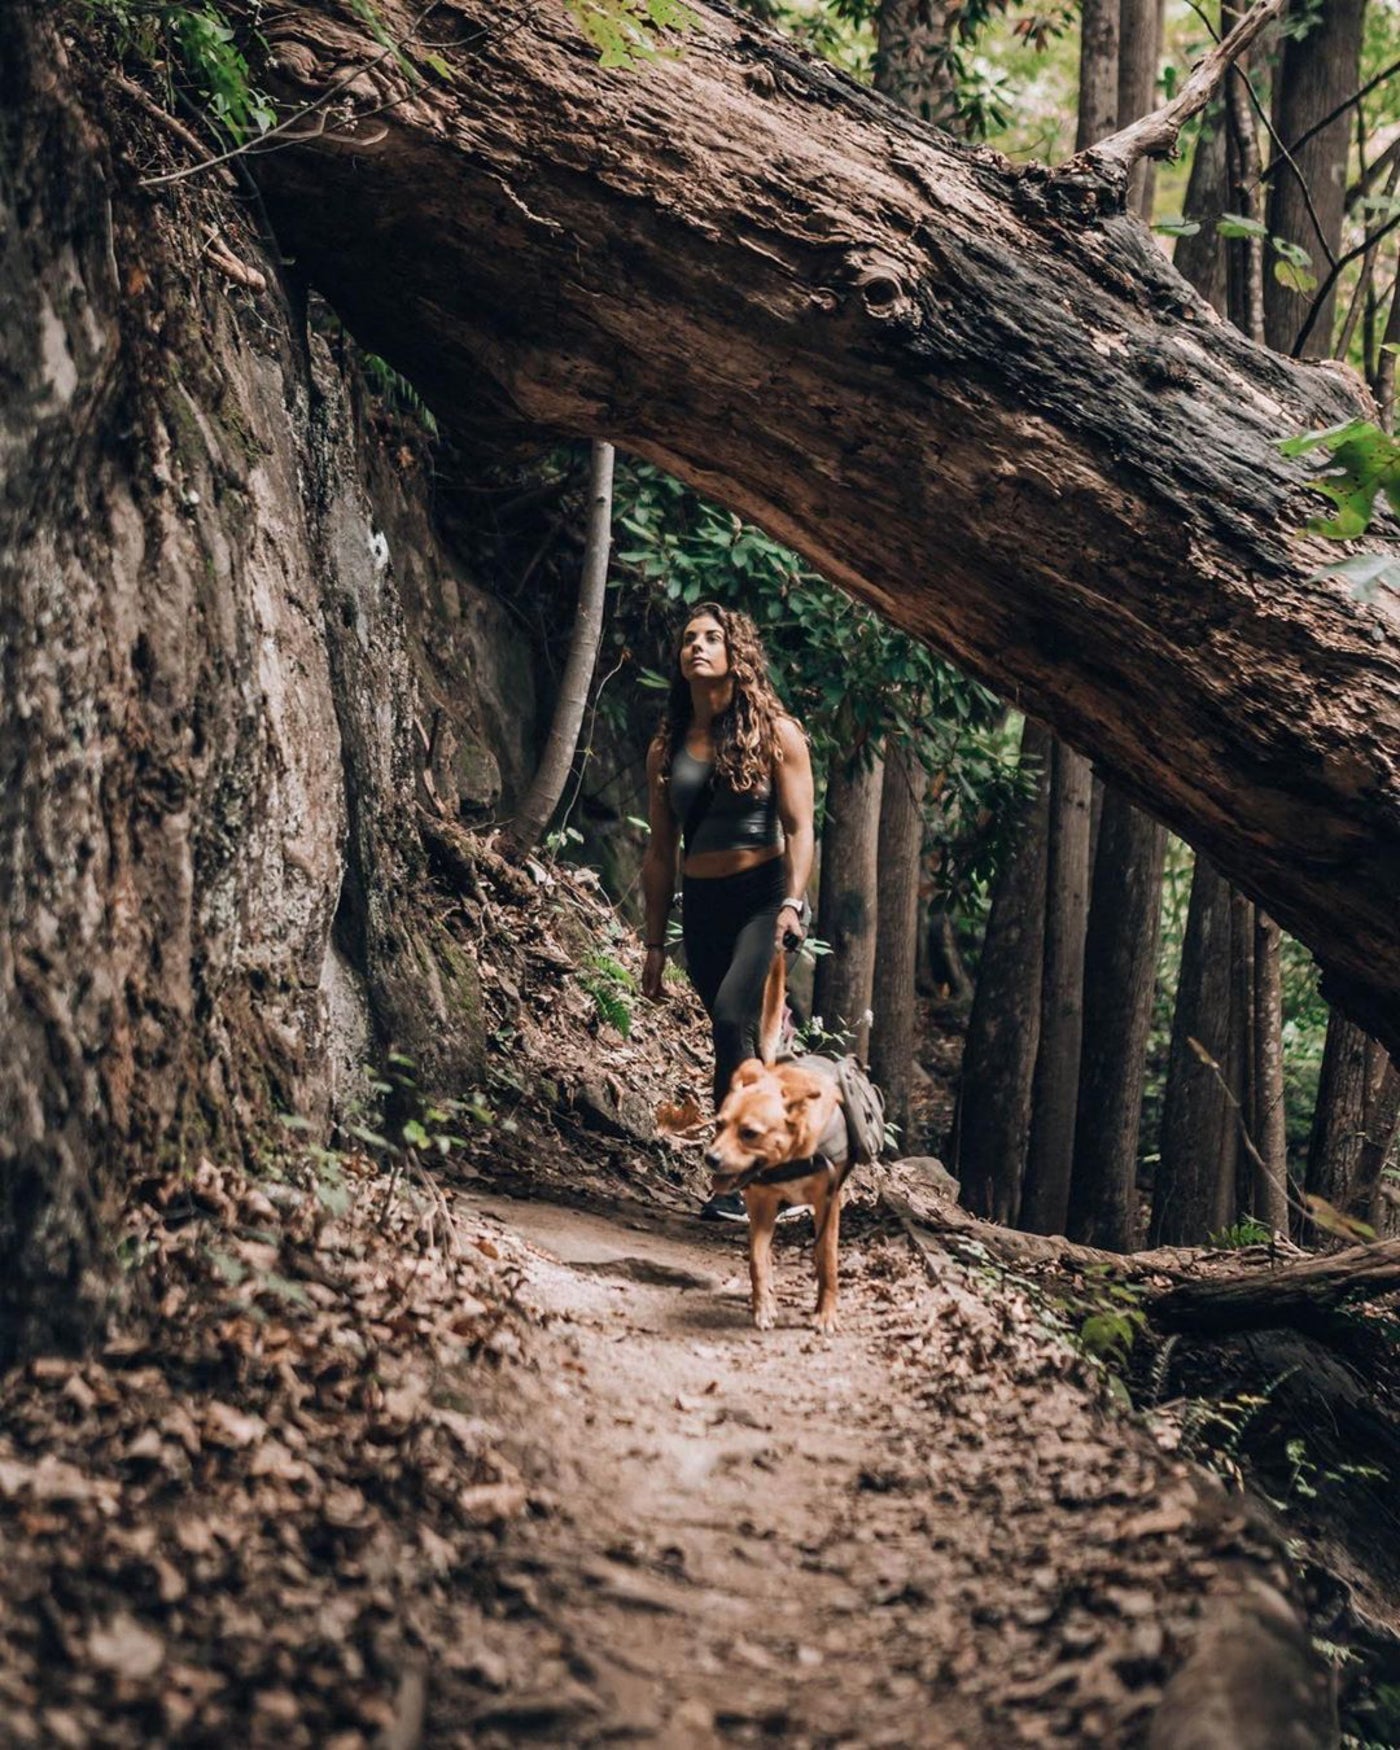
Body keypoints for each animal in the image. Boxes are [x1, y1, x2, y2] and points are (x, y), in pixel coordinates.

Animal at [707, 952, 847, 1330]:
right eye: (719, 1124)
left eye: (750, 1133)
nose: (711, 1159)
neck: (790, 1157)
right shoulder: (760, 1203)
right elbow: (757, 1259)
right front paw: (763, 1305)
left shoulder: (829, 1203)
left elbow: (827, 1260)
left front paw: (826, 1312)